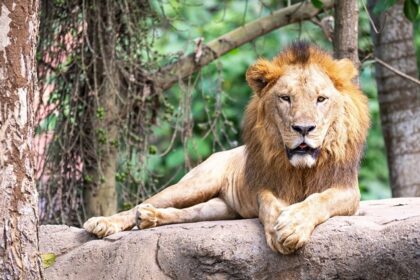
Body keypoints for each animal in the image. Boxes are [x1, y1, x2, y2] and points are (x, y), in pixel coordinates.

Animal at [83, 41, 370, 254]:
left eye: (321, 99)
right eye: (285, 98)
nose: (304, 128)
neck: (301, 169)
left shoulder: (348, 191)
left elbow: (319, 199)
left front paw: (292, 225)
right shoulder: (266, 186)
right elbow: (270, 205)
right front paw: (281, 228)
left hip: (221, 208)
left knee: (187, 213)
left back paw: (150, 218)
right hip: (196, 184)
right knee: (148, 202)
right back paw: (105, 222)